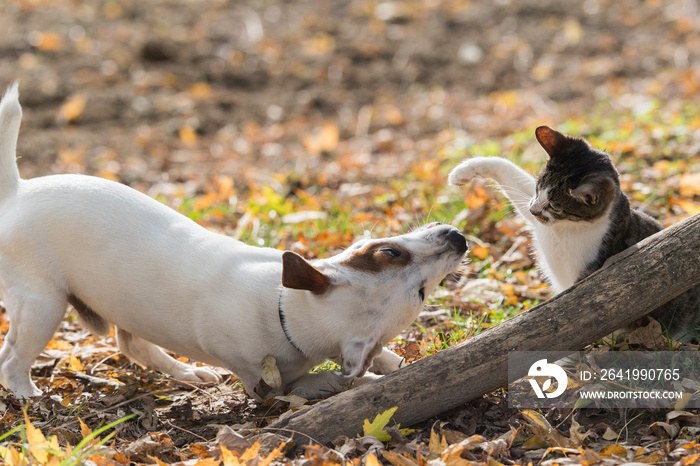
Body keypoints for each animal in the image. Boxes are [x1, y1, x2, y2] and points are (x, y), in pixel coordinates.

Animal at [0, 86, 468, 400]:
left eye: (420, 290)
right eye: (390, 253)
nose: (459, 237)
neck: (284, 311)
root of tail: (16, 192)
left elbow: (382, 358)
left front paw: (395, 364)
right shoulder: (264, 387)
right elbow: (317, 382)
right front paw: (355, 379)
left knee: (131, 344)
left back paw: (187, 375)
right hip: (43, 306)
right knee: (11, 361)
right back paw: (27, 395)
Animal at [452, 125, 696, 340]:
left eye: (555, 206)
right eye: (538, 188)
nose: (534, 209)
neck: (565, 229)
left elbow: (572, 315)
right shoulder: (539, 221)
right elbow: (509, 173)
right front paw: (463, 171)